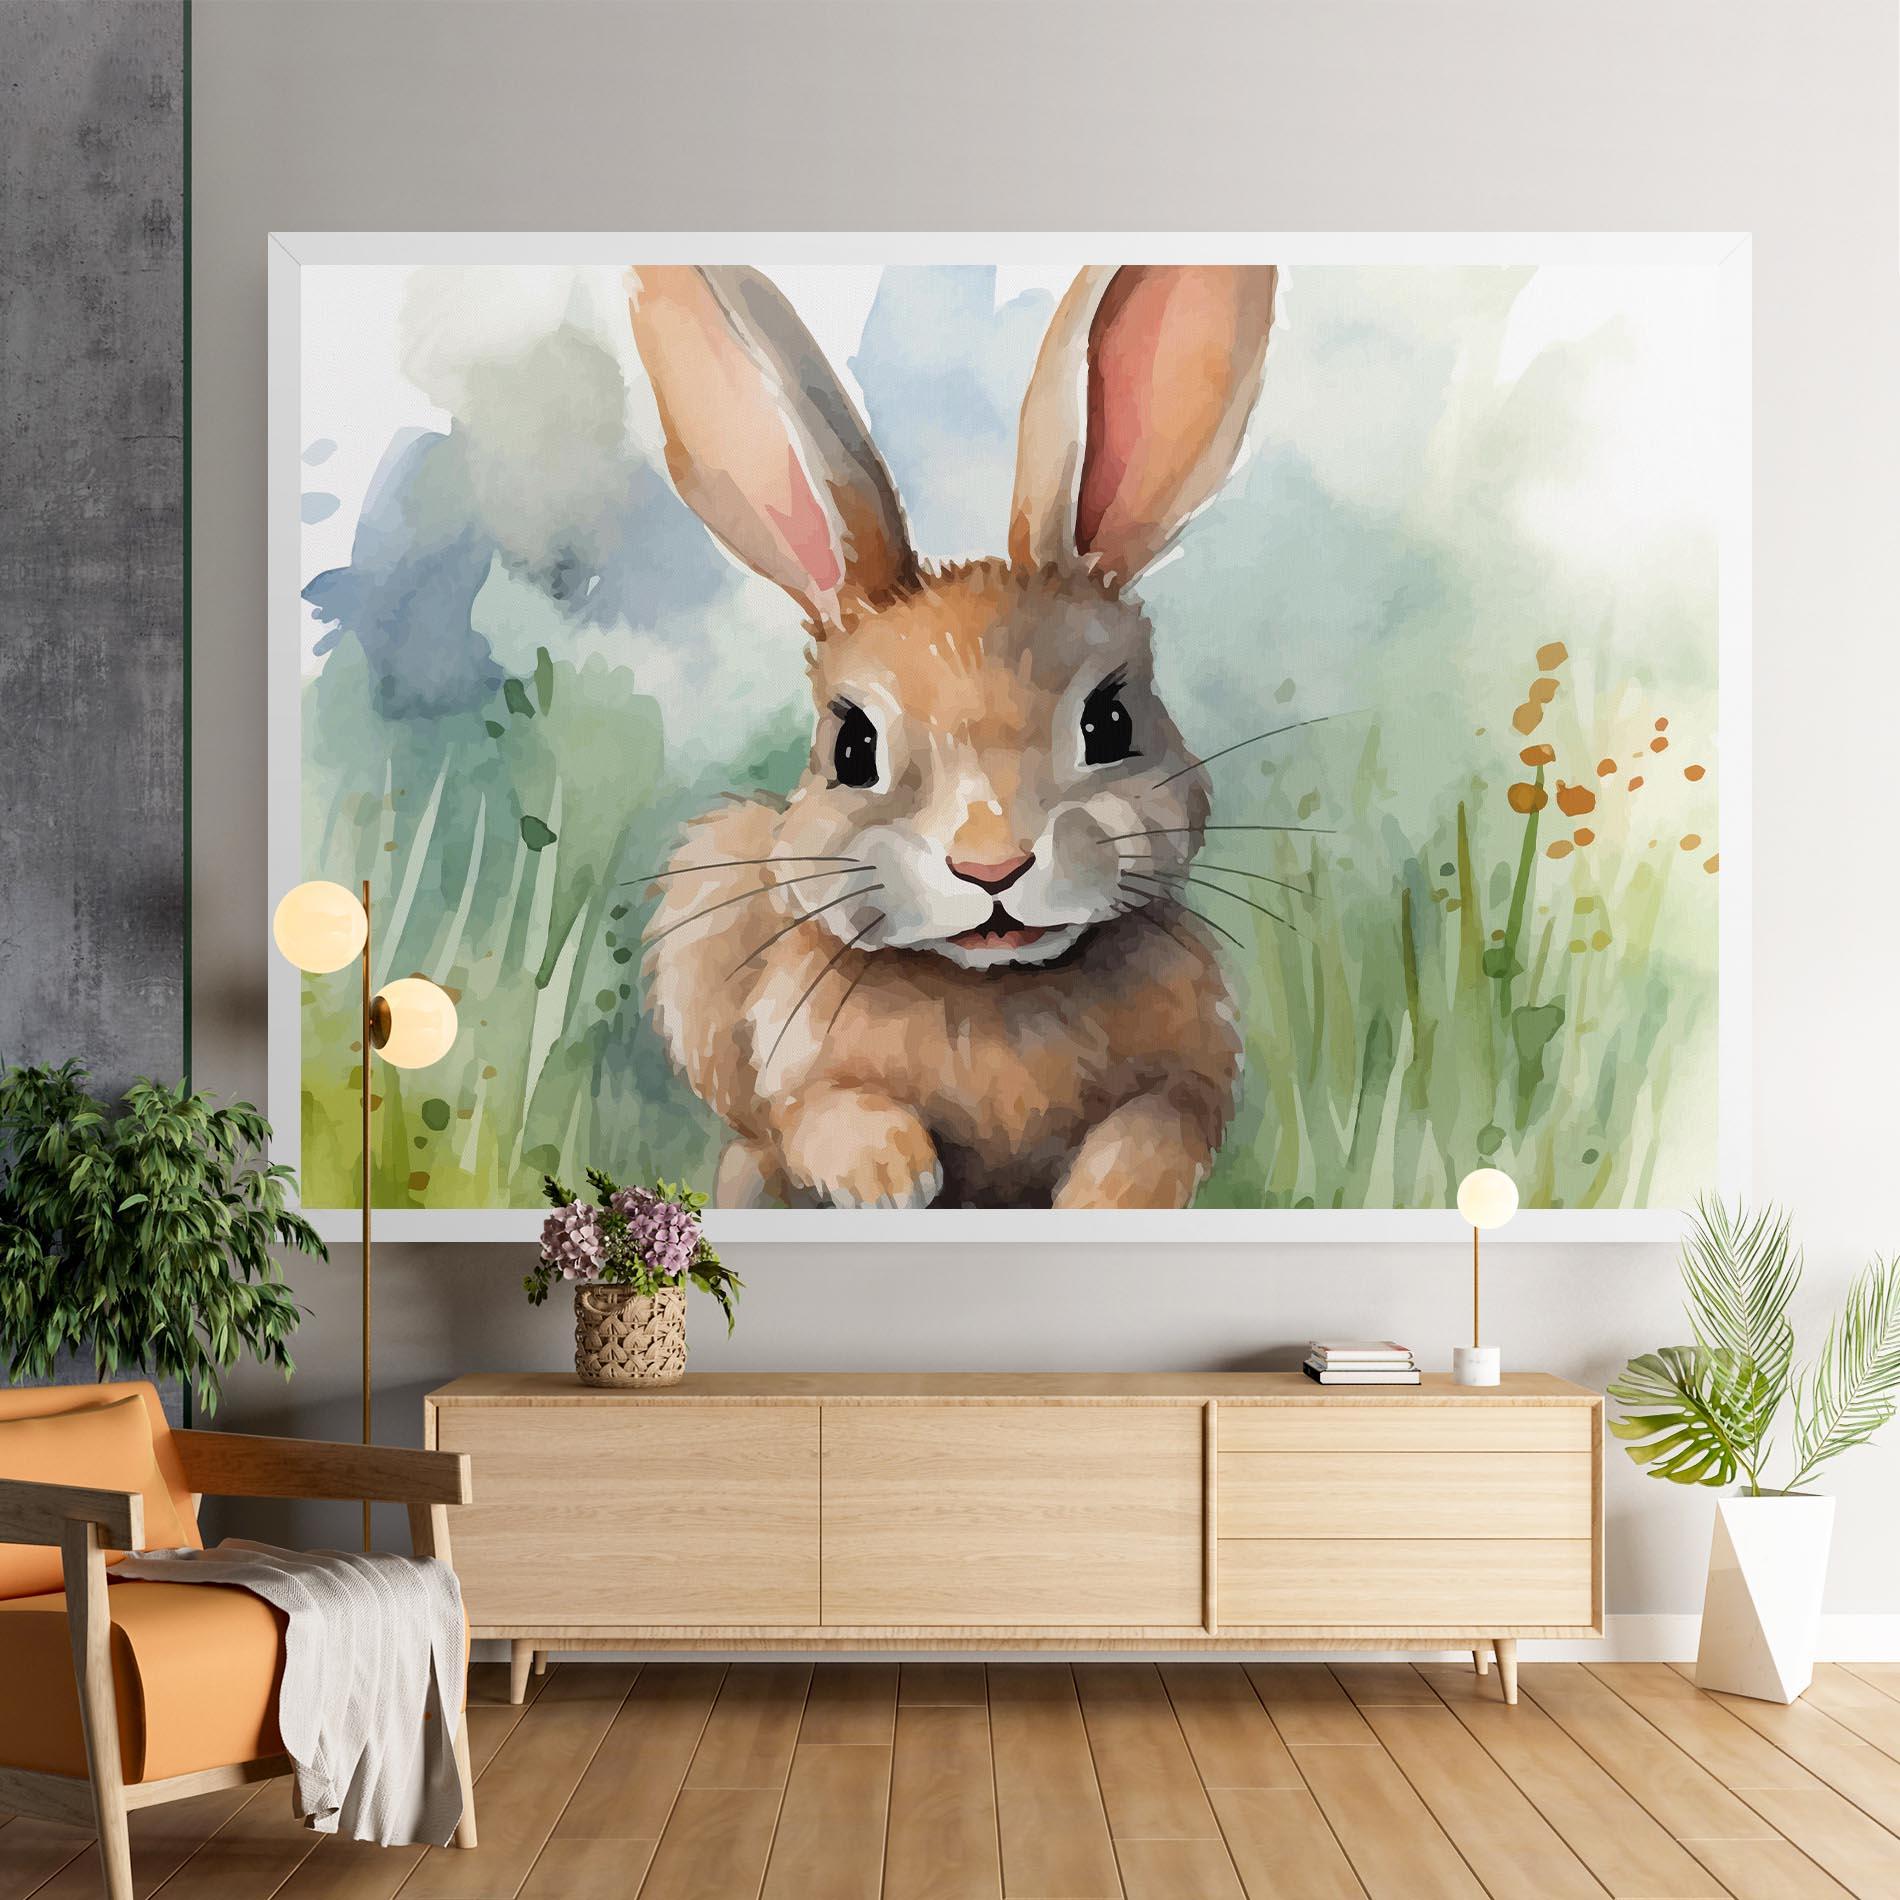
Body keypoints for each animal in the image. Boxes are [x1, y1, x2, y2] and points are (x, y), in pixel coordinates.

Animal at [626, 263, 1278, 1209]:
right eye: (852, 749)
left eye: (1110, 723)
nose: (992, 866)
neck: (993, 986)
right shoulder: (795, 1080)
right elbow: (820, 1113)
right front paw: (892, 1173)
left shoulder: (1191, 1082)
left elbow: (1159, 1130)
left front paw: (1102, 1199)